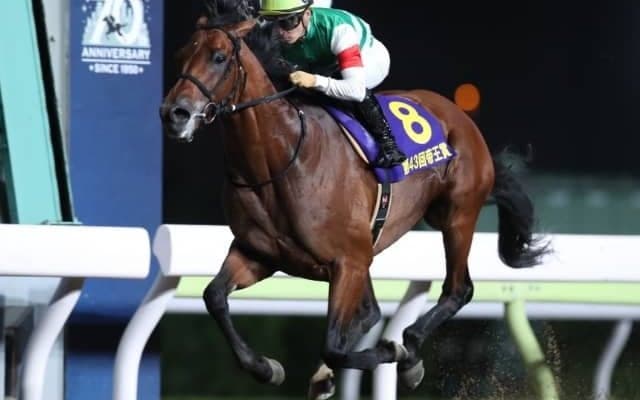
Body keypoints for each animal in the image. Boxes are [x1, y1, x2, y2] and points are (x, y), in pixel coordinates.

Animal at [159, 8, 550, 400]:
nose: (174, 113)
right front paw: (266, 368)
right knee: (371, 312)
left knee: (457, 290)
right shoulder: (261, 254)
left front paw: (393, 352)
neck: (277, 161)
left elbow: (335, 345)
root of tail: (458, 115)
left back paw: (408, 353)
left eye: (219, 57)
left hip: (456, 216)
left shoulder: (347, 261)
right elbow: (214, 296)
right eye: (180, 55)